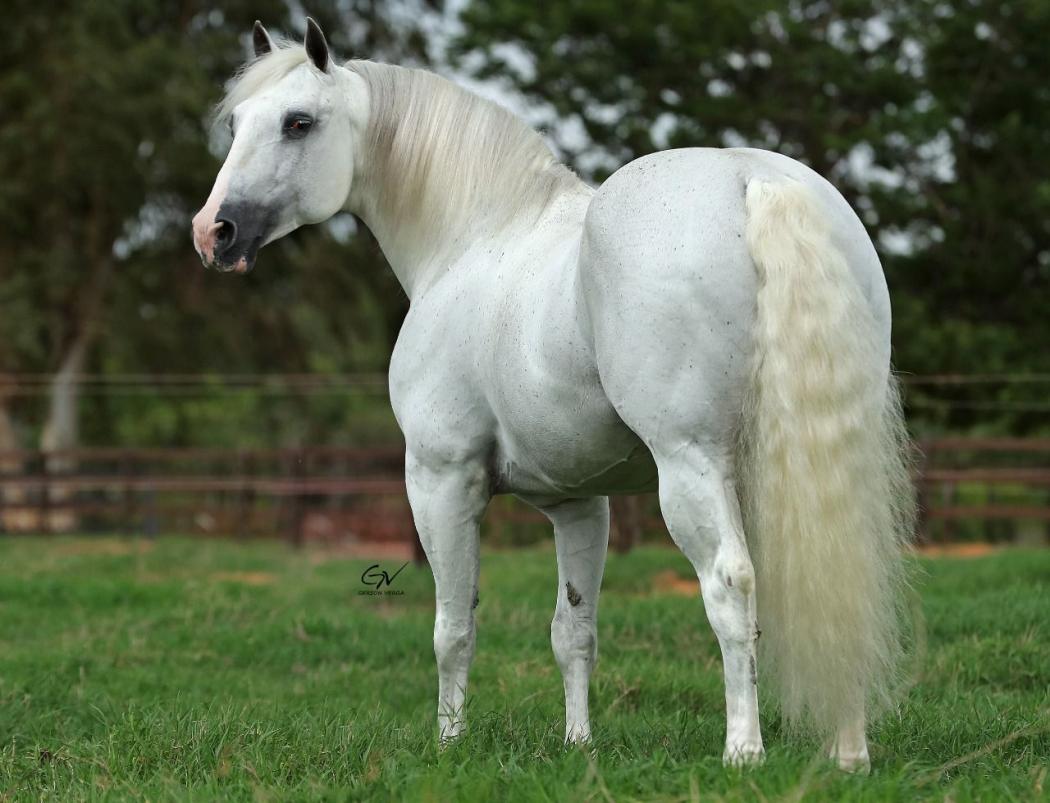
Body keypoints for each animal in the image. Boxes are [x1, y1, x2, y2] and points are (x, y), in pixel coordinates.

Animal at [192, 19, 915, 772]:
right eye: (237, 123)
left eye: (298, 122)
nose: (213, 232)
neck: (474, 238)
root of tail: (757, 182)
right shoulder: (579, 504)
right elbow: (574, 629)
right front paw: (578, 744)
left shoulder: (440, 479)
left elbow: (453, 625)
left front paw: (449, 743)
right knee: (841, 583)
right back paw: (849, 753)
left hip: (691, 464)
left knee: (729, 583)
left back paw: (743, 751)